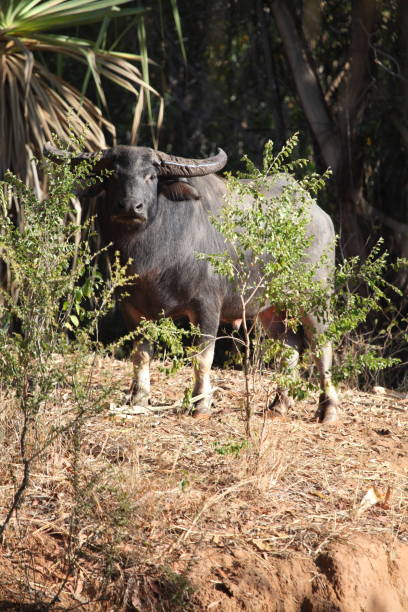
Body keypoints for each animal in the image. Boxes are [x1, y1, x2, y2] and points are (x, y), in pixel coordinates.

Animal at [43, 144, 338, 424]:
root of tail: (320, 215)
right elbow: (141, 355)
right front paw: (138, 400)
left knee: (322, 346)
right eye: (114, 175)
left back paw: (328, 411)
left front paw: (201, 405)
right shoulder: (132, 308)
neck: (155, 254)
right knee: (289, 348)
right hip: (270, 308)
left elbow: (202, 358)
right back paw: (279, 406)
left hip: (315, 299)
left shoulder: (207, 307)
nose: (130, 207)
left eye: (151, 176)